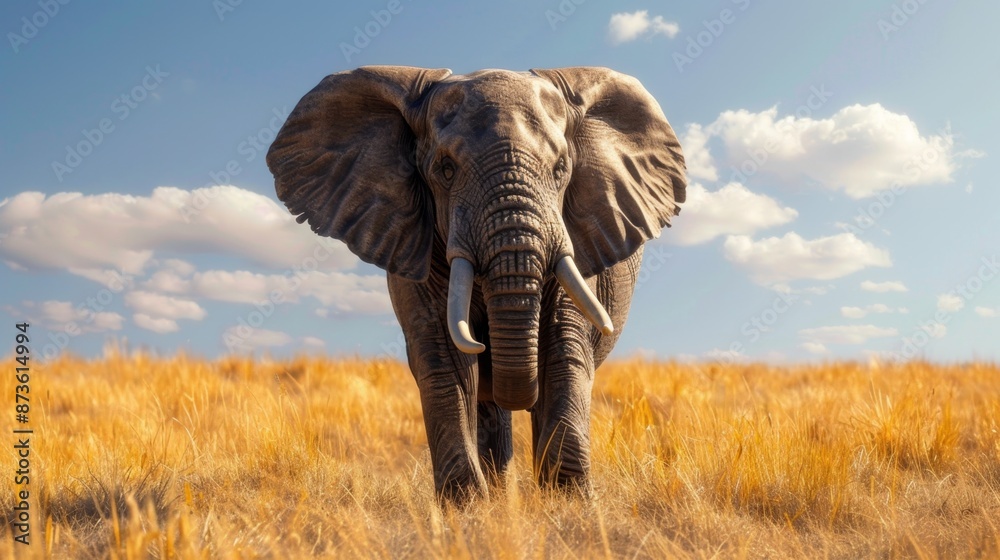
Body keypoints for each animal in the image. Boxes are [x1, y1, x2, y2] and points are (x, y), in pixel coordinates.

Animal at [266, 66, 686, 501]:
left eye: (560, 169)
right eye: (446, 169)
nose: (485, 344)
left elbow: (563, 347)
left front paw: (569, 505)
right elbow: (446, 359)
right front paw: (466, 507)